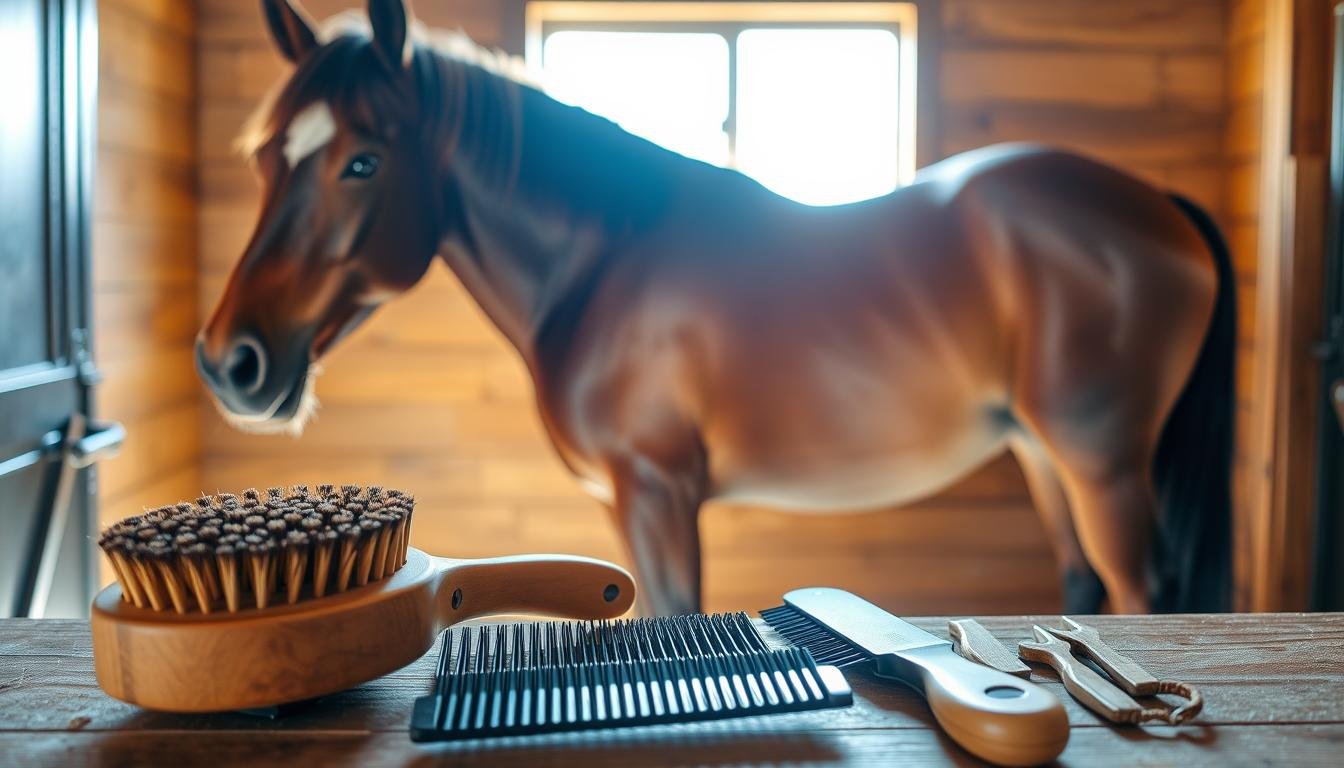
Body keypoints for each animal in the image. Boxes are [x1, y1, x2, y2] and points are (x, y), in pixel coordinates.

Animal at [196, 0, 1234, 616]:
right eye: (265, 155)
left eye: (362, 161)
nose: (230, 362)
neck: (599, 259)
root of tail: (1155, 204)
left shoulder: (657, 493)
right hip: (1043, 454)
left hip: (1102, 465)